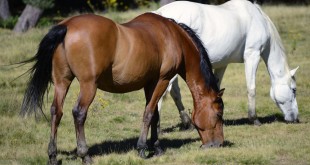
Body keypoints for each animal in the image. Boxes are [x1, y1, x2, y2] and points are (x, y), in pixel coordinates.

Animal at [21, 12, 225, 164]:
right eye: (218, 114)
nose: (218, 144)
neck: (172, 36)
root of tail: (67, 26)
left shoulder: (150, 83)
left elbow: (154, 115)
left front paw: (157, 147)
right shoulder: (162, 80)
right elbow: (149, 113)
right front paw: (142, 148)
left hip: (62, 82)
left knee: (57, 111)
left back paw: (52, 156)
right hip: (88, 85)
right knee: (78, 113)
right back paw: (85, 155)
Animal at [154, 0, 300, 127]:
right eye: (294, 90)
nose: (295, 118)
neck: (258, 19)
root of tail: (160, 14)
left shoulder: (222, 64)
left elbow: (216, 88)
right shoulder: (252, 55)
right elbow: (251, 88)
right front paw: (254, 119)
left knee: (174, 93)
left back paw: (187, 123)